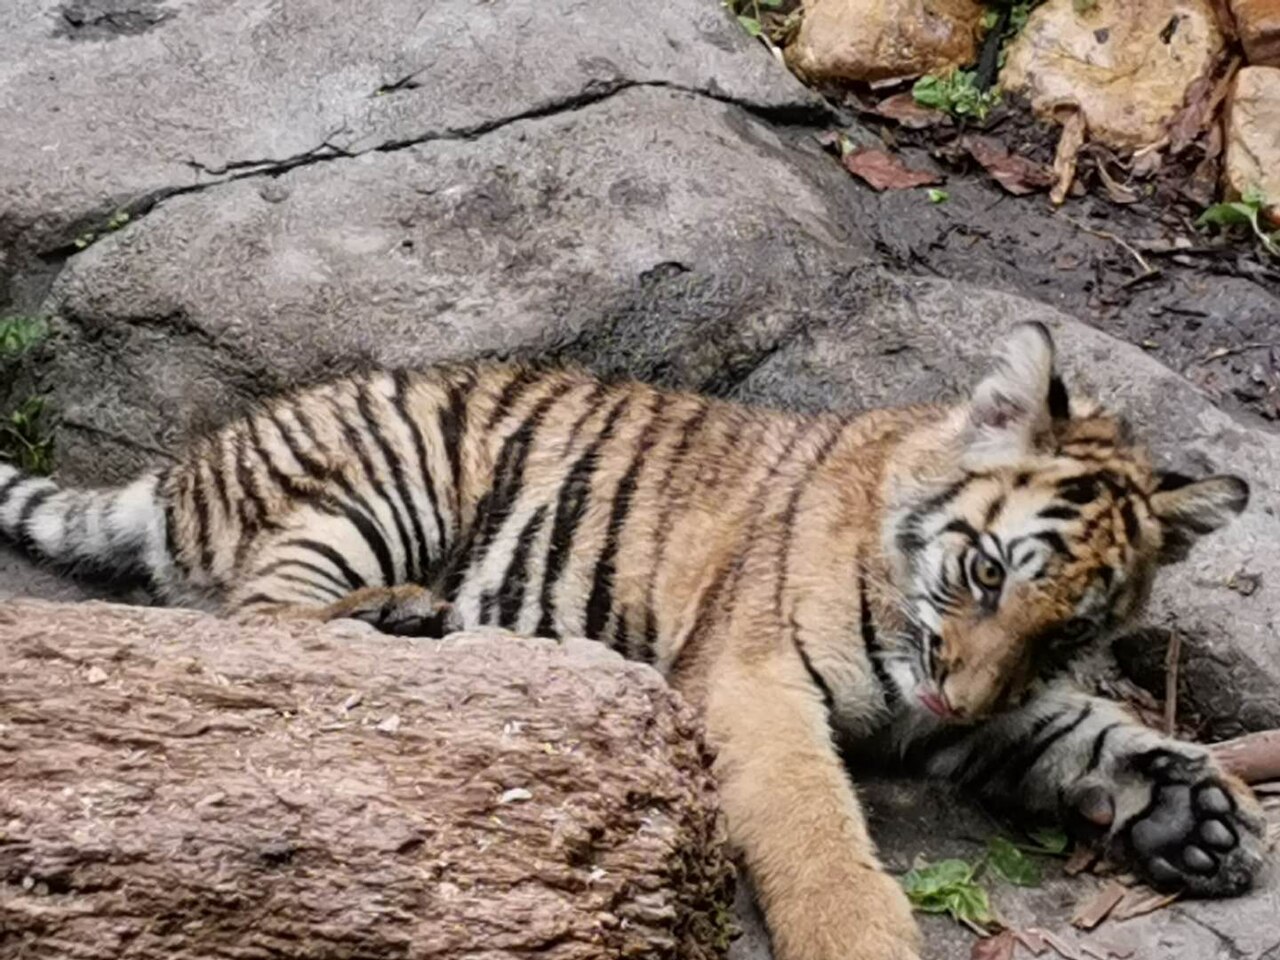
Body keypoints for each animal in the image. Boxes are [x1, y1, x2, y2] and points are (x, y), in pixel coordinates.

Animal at [0, 322, 1267, 960]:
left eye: (1067, 633)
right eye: (986, 570)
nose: (958, 696)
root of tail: (183, 469)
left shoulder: (951, 720)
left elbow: (1078, 733)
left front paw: (1194, 815)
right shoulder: (755, 678)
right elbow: (813, 831)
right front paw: (859, 939)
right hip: (381, 482)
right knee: (263, 626)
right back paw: (407, 621)